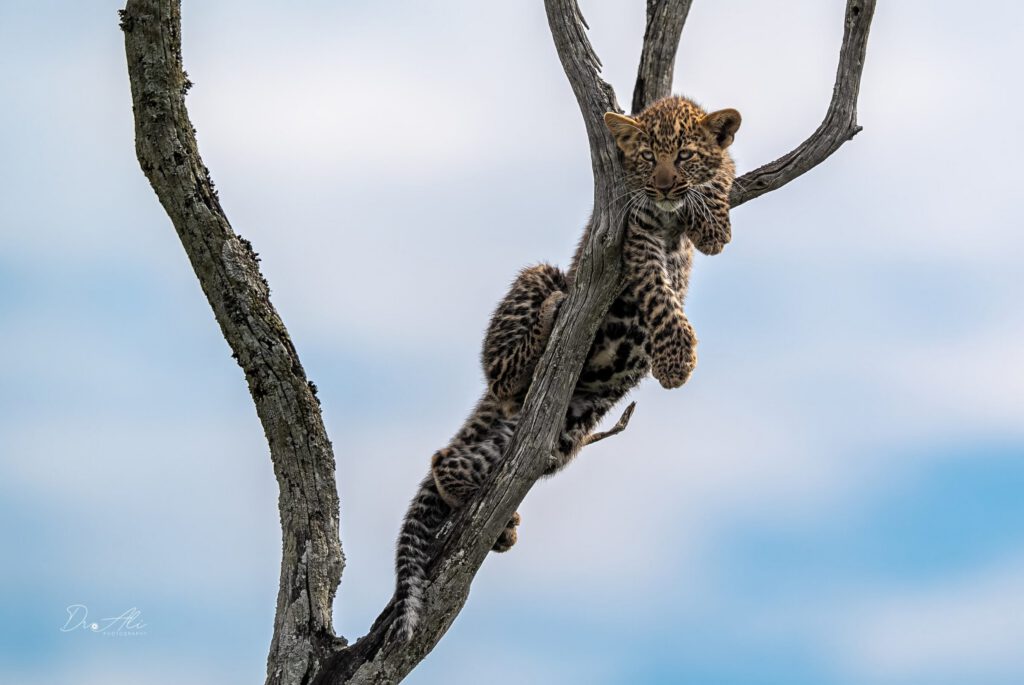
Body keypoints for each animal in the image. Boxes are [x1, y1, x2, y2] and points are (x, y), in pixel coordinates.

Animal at [392, 96, 740, 641]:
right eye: (646, 158)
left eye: (683, 156)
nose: (664, 186)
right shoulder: (632, 239)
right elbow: (659, 295)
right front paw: (676, 358)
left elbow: (721, 175)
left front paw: (712, 218)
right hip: (541, 282)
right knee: (498, 378)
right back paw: (552, 316)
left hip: (560, 432)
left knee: (452, 458)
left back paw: (499, 525)